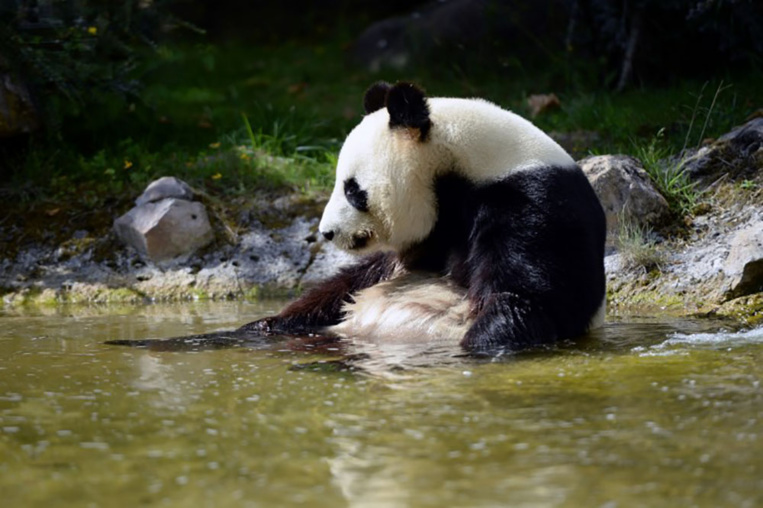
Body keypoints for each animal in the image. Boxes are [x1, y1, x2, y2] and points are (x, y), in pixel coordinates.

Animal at [238, 81, 607, 353]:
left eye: (353, 190)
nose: (327, 232)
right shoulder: (430, 234)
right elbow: (351, 282)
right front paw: (270, 321)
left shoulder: (530, 202)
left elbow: (528, 299)